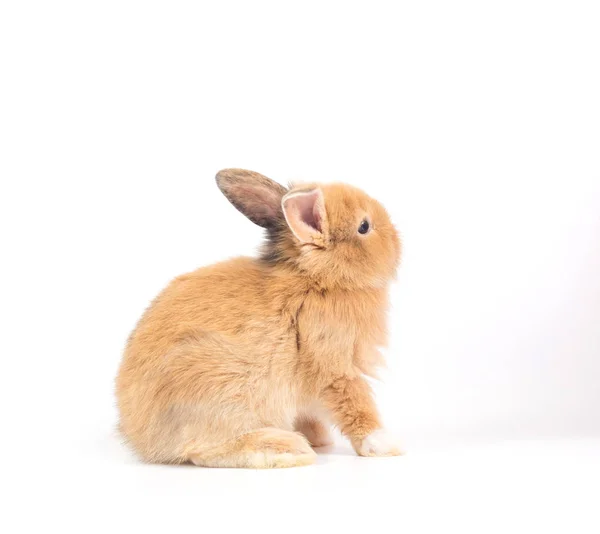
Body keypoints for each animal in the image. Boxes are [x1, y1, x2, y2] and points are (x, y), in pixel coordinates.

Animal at [115, 169, 400, 468]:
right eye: (364, 226)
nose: (397, 239)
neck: (316, 278)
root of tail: (141, 437)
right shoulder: (334, 365)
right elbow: (355, 406)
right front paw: (384, 445)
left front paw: (320, 438)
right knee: (202, 448)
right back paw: (286, 448)